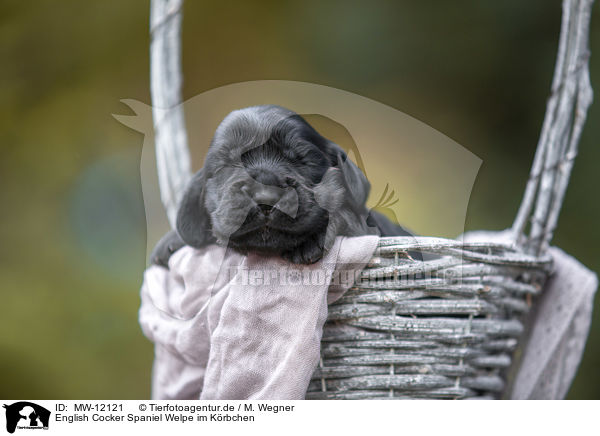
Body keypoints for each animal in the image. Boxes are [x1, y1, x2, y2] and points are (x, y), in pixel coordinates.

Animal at [150, 105, 414, 268]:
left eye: (303, 160)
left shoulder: (366, 230)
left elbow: (344, 215)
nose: (266, 198)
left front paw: (310, 240)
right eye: (227, 164)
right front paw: (172, 240)